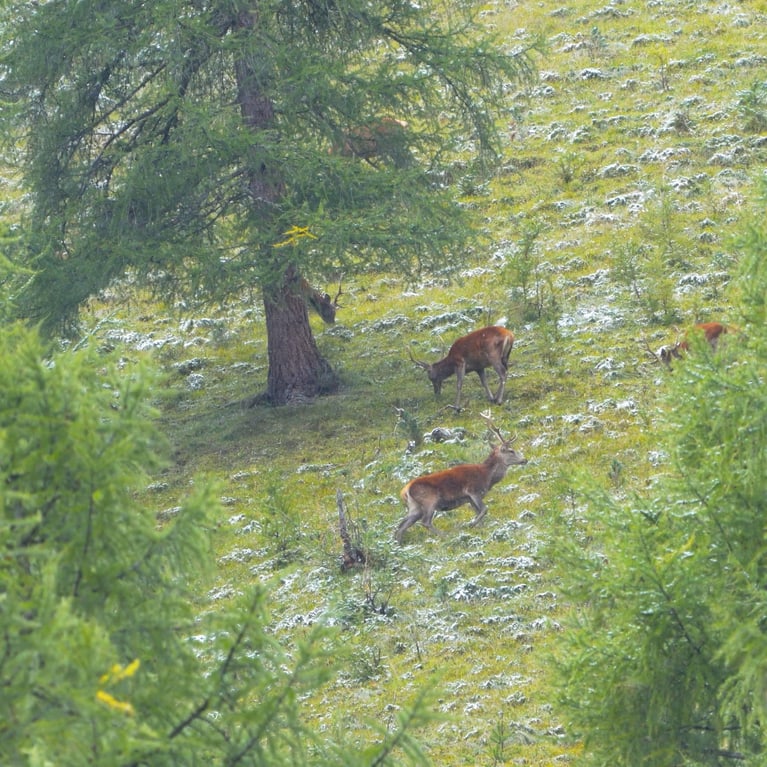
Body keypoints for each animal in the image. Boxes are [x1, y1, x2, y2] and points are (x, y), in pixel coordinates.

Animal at [395, 412, 527, 543]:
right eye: (511, 450)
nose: (525, 460)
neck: (487, 477)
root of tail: (405, 490)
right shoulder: (473, 490)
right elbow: (484, 510)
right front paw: (470, 525)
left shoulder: (469, 498)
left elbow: (480, 512)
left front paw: (481, 529)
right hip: (429, 500)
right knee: (425, 522)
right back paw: (445, 536)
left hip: (414, 507)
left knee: (402, 525)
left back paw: (398, 543)